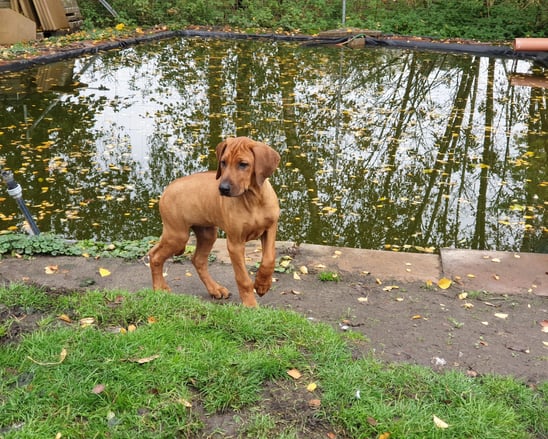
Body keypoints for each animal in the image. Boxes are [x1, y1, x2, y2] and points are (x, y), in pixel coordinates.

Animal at [148, 137, 280, 306]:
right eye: (223, 162)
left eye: (243, 164)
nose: (223, 188)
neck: (253, 198)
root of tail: (166, 189)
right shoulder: (235, 243)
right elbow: (243, 278)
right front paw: (250, 305)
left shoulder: (270, 228)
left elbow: (269, 259)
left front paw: (262, 284)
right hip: (177, 235)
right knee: (155, 255)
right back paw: (160, 288)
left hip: (206, 234)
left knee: (198, 260)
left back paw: (214, 289)